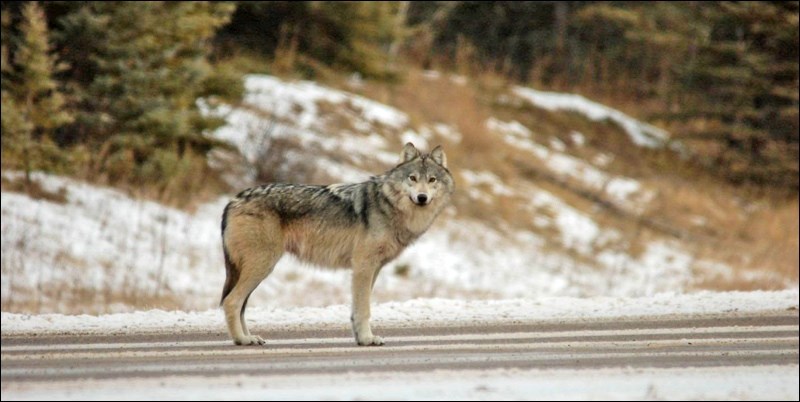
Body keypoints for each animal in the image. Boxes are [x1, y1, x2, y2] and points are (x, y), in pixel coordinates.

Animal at [222, 144, 454, 346]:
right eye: (412, 178)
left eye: (432, 179)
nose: (422, 197)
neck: (389, 206)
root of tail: (232, 201)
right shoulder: (363, 266)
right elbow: (364, 308)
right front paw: (368, 340)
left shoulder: (373, 268)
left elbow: (357, 309)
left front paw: (361, 338)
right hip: (262, 266)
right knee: (231, 302)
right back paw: (241, 340)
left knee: (239, 305)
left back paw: (249, 337)